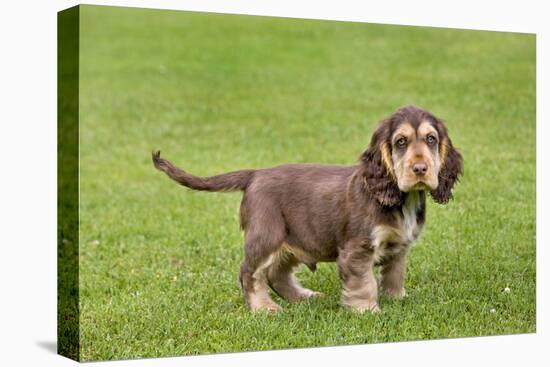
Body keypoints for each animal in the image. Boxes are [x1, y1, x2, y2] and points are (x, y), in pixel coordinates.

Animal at [153, 105, 464, 314]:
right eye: (401, 142)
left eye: (431, 139)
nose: (420, 169)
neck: (400, 198)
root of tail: (255, 174)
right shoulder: (357, 249)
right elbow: (363, 282)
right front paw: (367, 310)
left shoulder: (399, 246)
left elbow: (394, 274)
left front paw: (397, 298)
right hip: (267, 235)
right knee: (249, 273)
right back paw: (264, 308)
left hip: (293, 239)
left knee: (276, 274)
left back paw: (304, 297)